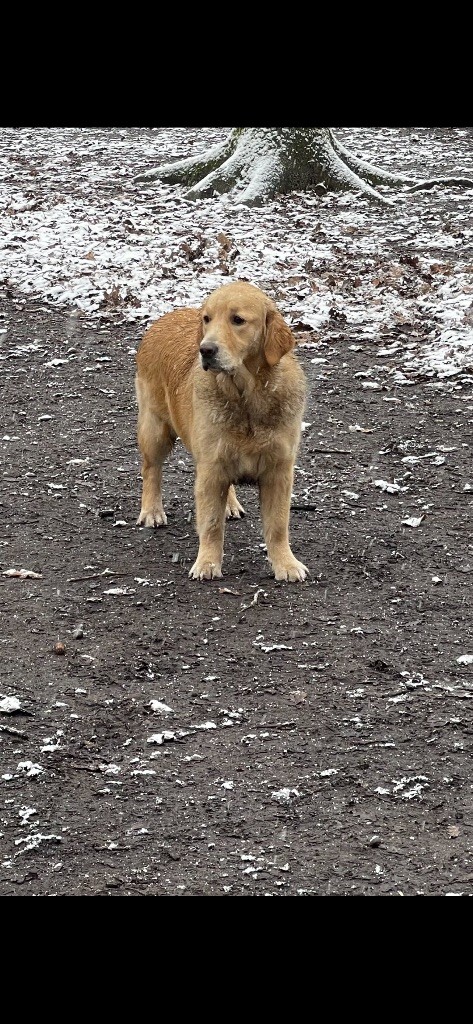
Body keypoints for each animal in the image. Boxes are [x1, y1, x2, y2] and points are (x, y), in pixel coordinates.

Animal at [135, 284, 309, 581]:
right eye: (207, 319)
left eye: (237, 320)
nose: (205, 350)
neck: (247, 397)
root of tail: (163, 319)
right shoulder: (211, 469)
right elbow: (211, 524)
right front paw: (207, 563)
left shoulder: (279, 470)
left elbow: (277, 526)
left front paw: (285, 564)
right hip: (156, 430)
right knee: (151, 470)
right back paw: (152, 510)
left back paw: (230, 504)